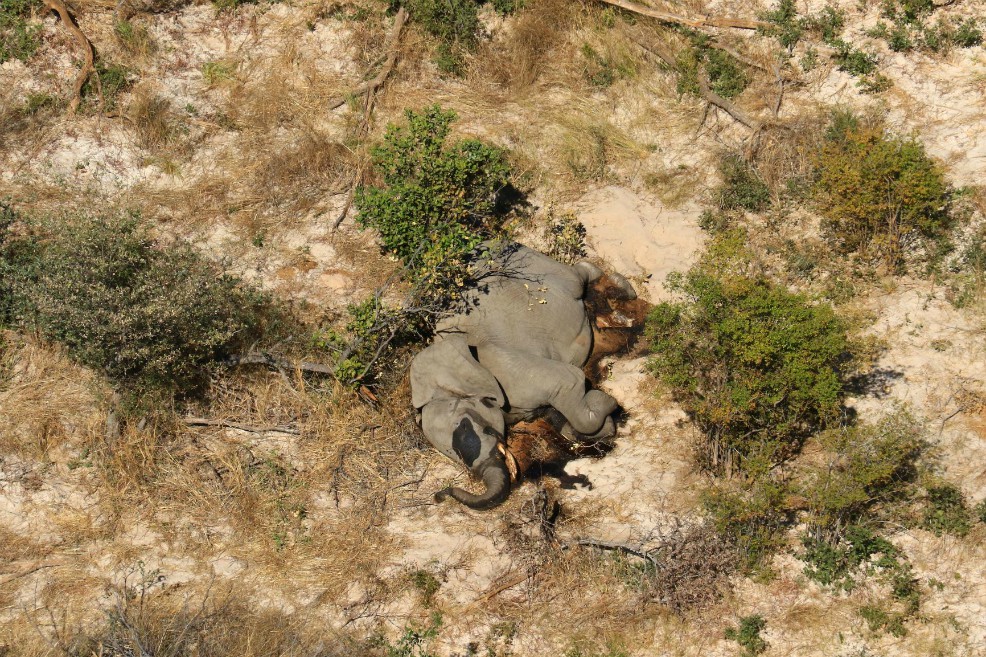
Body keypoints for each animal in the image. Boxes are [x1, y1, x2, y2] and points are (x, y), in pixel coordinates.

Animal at [410, 241, 636, 509]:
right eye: (451, 454)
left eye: (470, 426)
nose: (439, 495)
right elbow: (560, 421)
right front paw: (605, 422)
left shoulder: (506, 365)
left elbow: (570, 381)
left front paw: (607, 403)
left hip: (536, 265)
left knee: (577, 277)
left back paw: (622, 287)